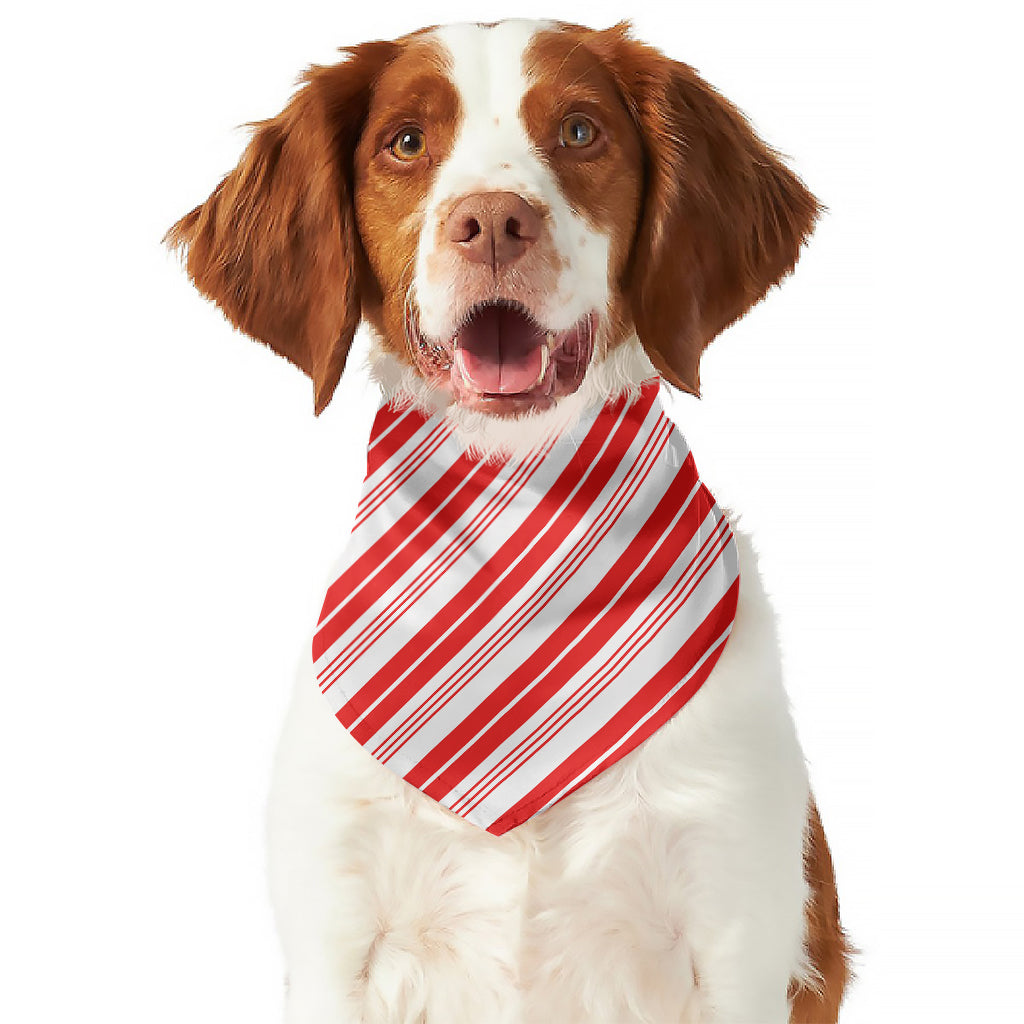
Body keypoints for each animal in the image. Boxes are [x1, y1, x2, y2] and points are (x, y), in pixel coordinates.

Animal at [167, 16, 851, 1024]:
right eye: (406, 142)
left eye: (579, 131)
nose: (492, 221)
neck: (520, 499)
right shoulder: (336, 929)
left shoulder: (737, 922)